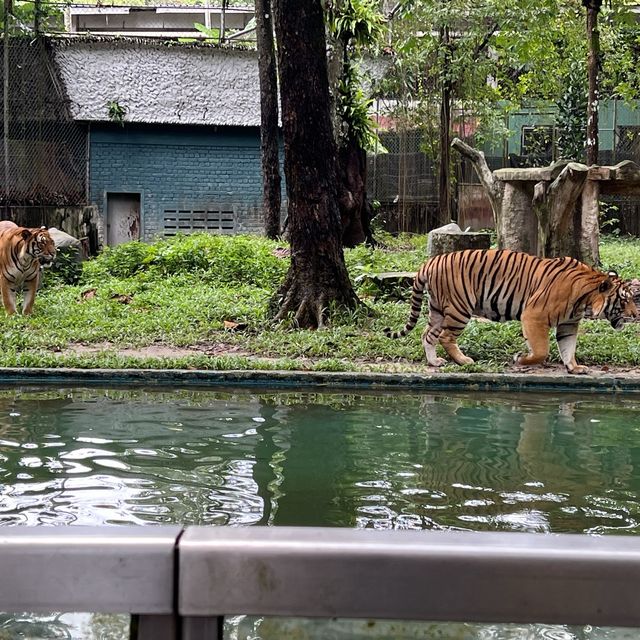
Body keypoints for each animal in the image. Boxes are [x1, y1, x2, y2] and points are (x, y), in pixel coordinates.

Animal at [382, 246, 636, 376]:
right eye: (624, 300)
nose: (635, 315)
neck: (584, 301)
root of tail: (429, 263)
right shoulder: (533, 315)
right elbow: (541, 350)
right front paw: (520, 360)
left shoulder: (568, 324)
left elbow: (568, 347)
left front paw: (574, 367)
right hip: (459, 308)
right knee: (445, 336)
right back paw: (464, 361)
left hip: (438, 309)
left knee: (428, 335)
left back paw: (434, 362)